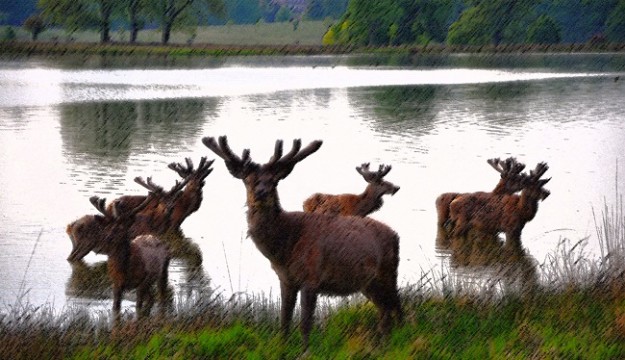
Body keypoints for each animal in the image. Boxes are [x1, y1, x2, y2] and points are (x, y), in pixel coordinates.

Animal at [202, 136, 402, 348]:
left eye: (274, 180)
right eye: (247, 180)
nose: (261, 193)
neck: (283, 249)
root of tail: (395, 235)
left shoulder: (312, 277)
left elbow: (305, 325)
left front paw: (305, 350)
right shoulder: (285, 280)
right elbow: (284, 322)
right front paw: (282, 347)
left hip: (388, 271)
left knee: (396, 305)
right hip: (368, 283)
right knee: (384, 309)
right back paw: (382, 344)